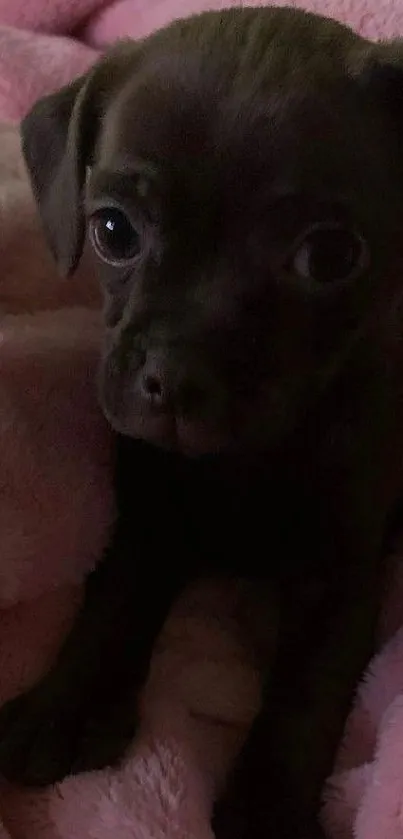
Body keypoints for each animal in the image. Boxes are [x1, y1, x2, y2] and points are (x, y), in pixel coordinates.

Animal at [2, 6, 403, 839]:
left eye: (329, 255)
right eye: (113, 231)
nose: (177, 375)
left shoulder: (340, 574)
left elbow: (307, 690)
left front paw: (270, 806)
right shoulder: (148, 515)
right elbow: (112, 600)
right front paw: (66, 704)